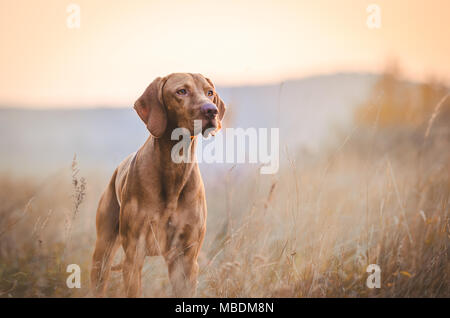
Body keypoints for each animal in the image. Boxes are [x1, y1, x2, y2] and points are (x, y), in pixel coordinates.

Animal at [90, 73, 225, 296]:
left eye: (210, 92)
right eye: (181, 91)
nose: (211, 110)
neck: (175, 166)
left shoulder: (187, 260)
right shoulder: (134, 255)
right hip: (102, 252)